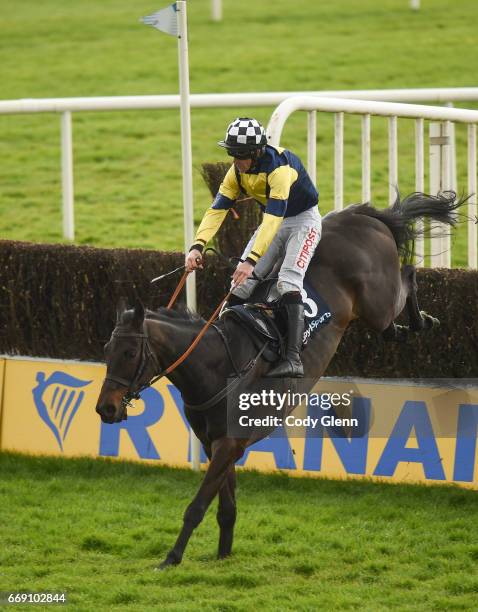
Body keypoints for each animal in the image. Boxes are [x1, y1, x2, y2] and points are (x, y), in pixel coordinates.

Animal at [95, 190, 464, 568]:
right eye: (107, 349)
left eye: (129, 354)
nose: (105, 408)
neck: (217, 365)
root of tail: (362, 216)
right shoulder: (215, 443)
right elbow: (226, 506)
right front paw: (223, 554)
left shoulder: (230, 443)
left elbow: (197, 507)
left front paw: (171, 557)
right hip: (372, 311)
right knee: (392, 322)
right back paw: (408, 327)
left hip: (376, 299)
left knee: (407, 274)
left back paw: (423, 319)